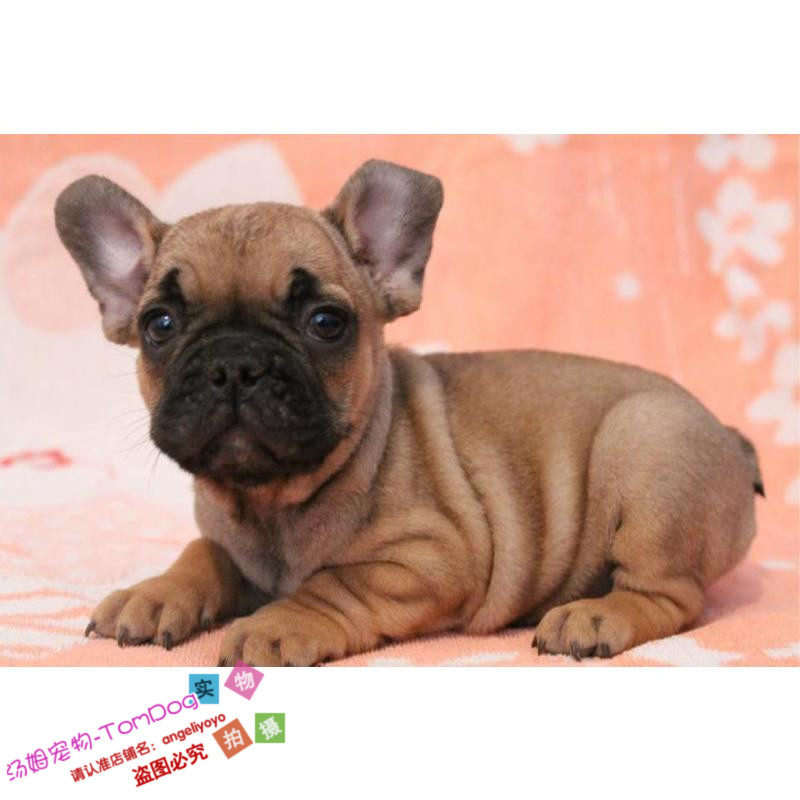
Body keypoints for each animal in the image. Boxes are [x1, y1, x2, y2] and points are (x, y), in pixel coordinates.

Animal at [54, 159, 762, 665]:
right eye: (159, 325)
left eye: (326, 322)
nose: (234, 363)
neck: (270, 501)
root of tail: (729, 437)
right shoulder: (229, 543)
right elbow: (200, 555)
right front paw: (152, 594)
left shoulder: (430, 559)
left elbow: (333, 582)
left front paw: (280, 622)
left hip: (648, 447)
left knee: (670, 594)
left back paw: (596, 616)